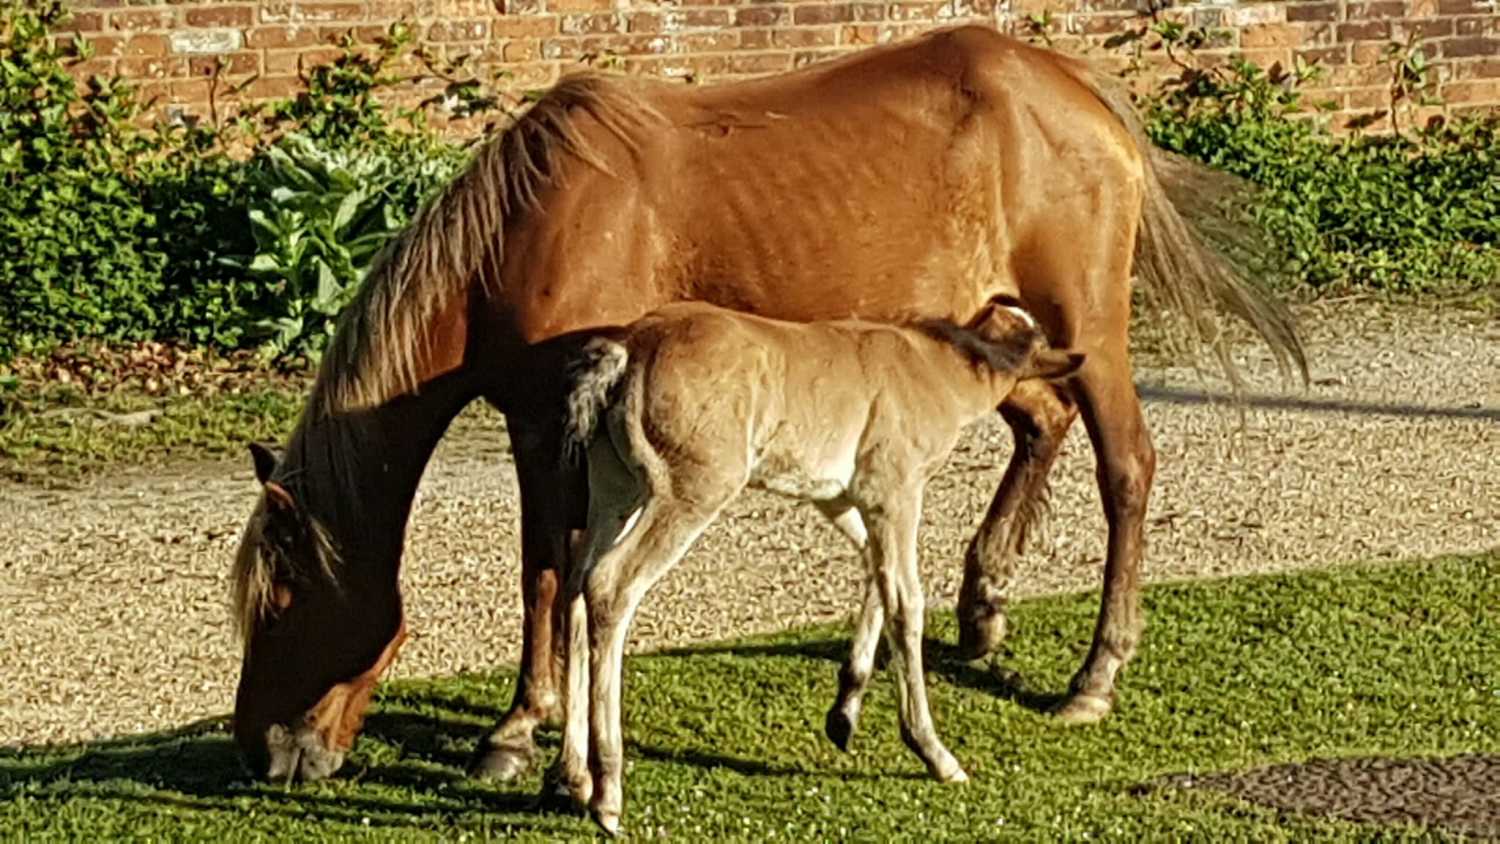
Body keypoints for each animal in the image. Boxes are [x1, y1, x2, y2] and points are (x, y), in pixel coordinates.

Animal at [549, 297, 1084, 833]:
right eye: (1040, 344)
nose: (1068, 376)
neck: (935, 366)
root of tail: (629, 351)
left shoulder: (840, 496)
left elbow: (876, 572)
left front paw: (844, 713)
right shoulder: (895, 491)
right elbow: (906, 601)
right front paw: (933, 752)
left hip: (615, 488)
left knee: (575, 586)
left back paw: (574, 776)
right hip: (692, 489)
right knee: (610, 584)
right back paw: (607, 793)